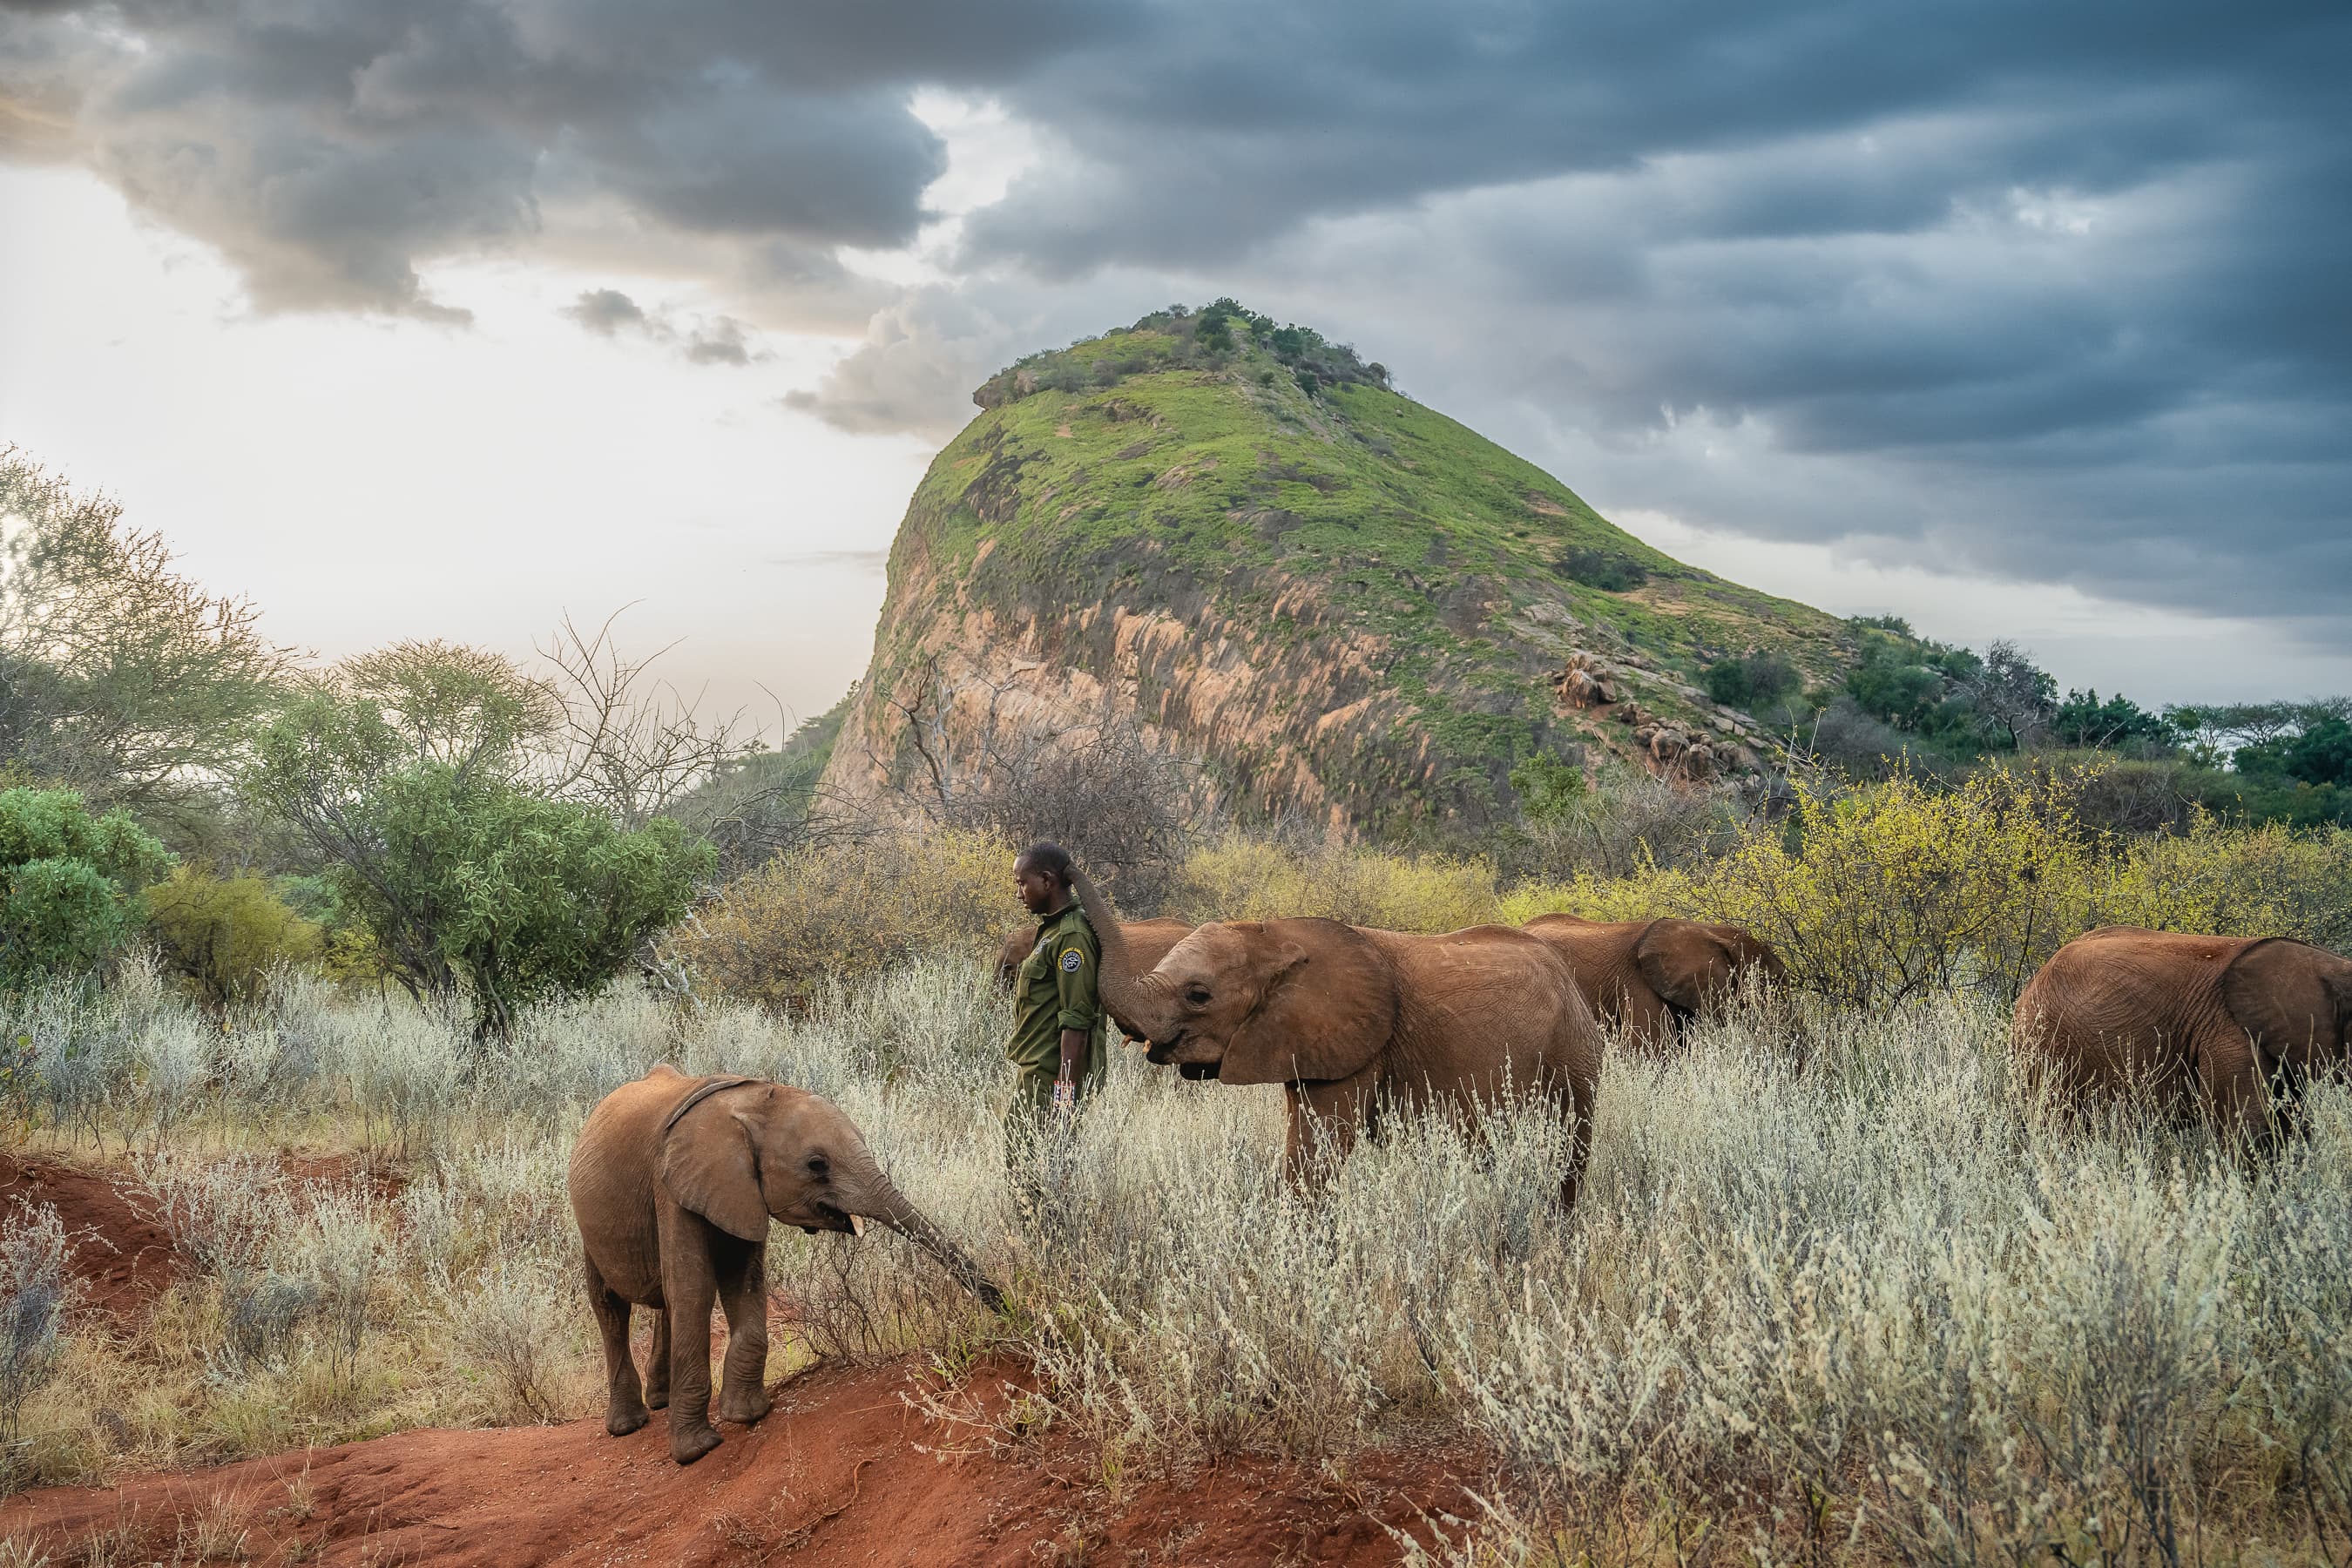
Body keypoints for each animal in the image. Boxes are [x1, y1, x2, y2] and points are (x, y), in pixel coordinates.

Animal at [567, 1065, 1004, 1465]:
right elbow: (694, 1291)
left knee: (663, 1301)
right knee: (610, 1305)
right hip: (587, 1224)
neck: (750, 1102)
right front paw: (696, 1451)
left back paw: (660, 1402)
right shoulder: (671, 1187)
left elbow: (742, 1281)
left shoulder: (737, 1190)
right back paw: (628, 1425)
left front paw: (747, 1414)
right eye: (816, 1164)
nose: (1004, 1304)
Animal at [1072, 870, 1601, 1205]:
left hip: (1572, 1056)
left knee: (1567, 1156)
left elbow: (1317, 1149)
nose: (1056, 860)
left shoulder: (1356, 1044)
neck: (1273, 935)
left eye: (1198, 995)